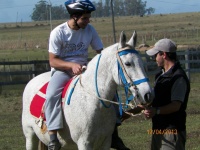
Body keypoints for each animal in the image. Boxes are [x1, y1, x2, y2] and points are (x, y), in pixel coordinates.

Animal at [21, 31, 152, 149]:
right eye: (128, 63)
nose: (147, 94)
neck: (91, 101)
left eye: (142, 62)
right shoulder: (84, 143)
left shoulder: (105, 141)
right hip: (30, 135)